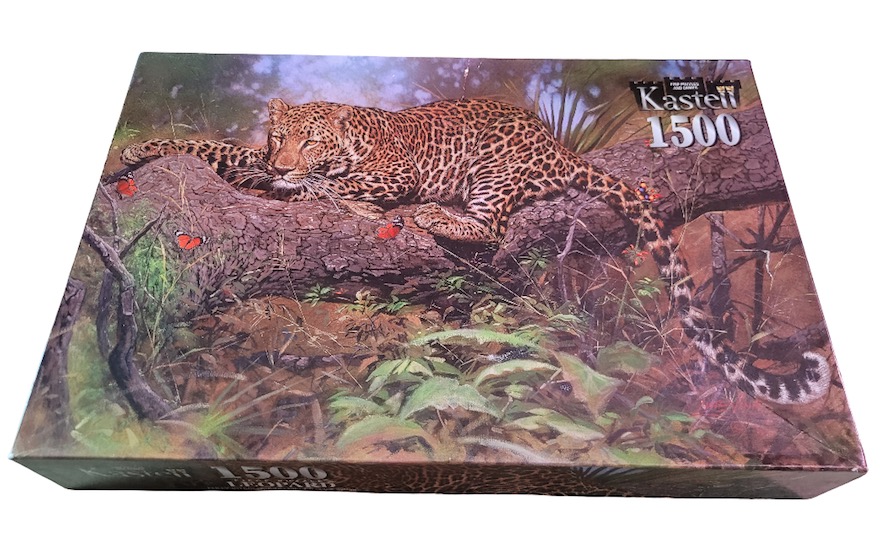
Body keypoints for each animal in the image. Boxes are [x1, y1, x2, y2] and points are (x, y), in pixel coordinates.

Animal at [121, 97, 831, 405]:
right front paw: (137, 151)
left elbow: (334, 186)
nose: (285, 163)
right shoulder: (254, 158)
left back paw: (422, 214)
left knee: (490, 228)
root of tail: (556, 146)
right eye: (279, 137)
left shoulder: (390, 171)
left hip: (493, 173)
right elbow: (220, 152)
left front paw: (318, 193)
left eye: (310, 139)